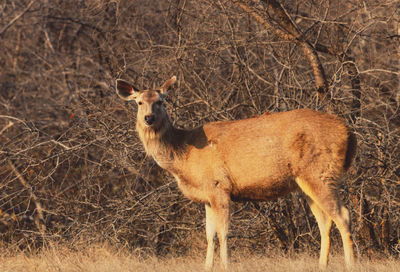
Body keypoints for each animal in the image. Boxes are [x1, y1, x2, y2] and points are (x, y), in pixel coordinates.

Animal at [115, 76, 356, 270]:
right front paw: (207, 267)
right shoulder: (207, 196)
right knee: (325, 221)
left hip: (322, 172)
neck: (184, 156)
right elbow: (209, 234)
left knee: (343, 215)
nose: (148, 118)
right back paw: (322, 265)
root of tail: (348, 132)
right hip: (305, 182)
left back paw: (351, 264)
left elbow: (223, 232)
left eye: (160, 101)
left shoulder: (219, 185)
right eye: (139, 102)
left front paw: (225, 265)